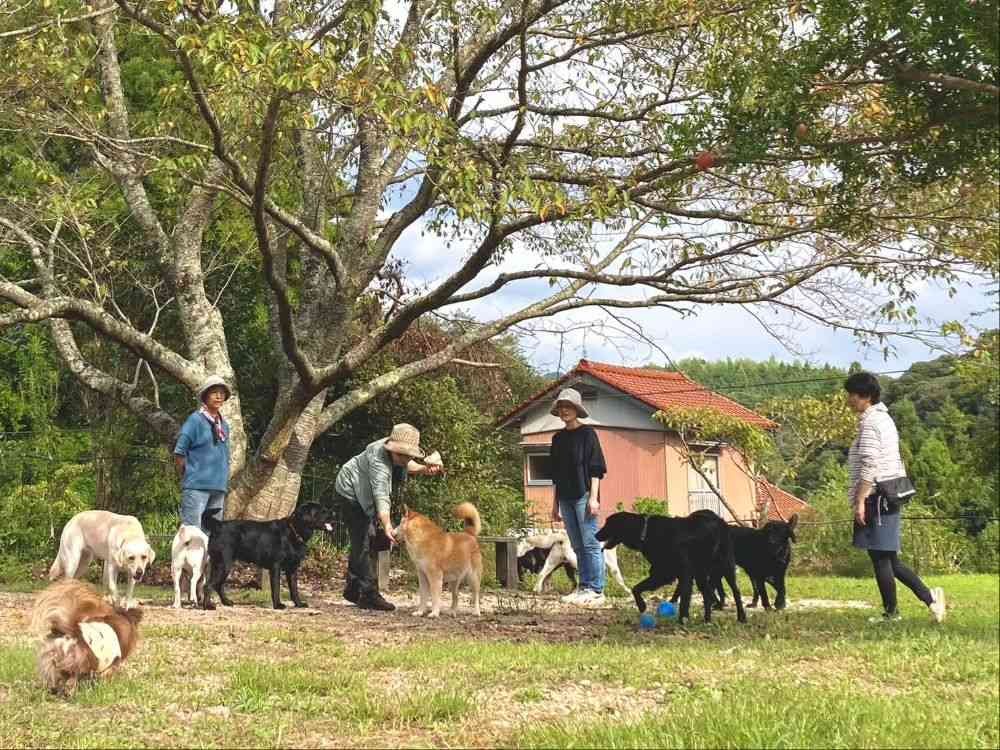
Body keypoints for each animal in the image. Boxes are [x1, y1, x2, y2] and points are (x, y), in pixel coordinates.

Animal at [201, 506, 334, 612]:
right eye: (321, 511)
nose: (334, 514)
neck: (294, 531)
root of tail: (219, 525)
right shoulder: (276, 567)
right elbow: (276, 588)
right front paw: (278, 605)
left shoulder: (292, 569)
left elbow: (294, 589)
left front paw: (299, 604)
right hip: (224, 564)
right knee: (208, 585)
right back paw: (208, 606)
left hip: (223, 565)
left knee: (218, 585)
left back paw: (226, 602)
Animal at [592, 508, 744, 624]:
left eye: (608, 523)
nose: (595, 535)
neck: (646, 531)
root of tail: (720, 520)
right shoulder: (663, 573)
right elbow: (636, 588)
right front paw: (642, 606)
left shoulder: (679, 574)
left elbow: (684, 600)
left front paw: (683, 619)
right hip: (701, 573)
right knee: (707, 594)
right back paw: (707, 620)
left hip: (725, 566)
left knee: (735, 592)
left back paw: (741, 617)